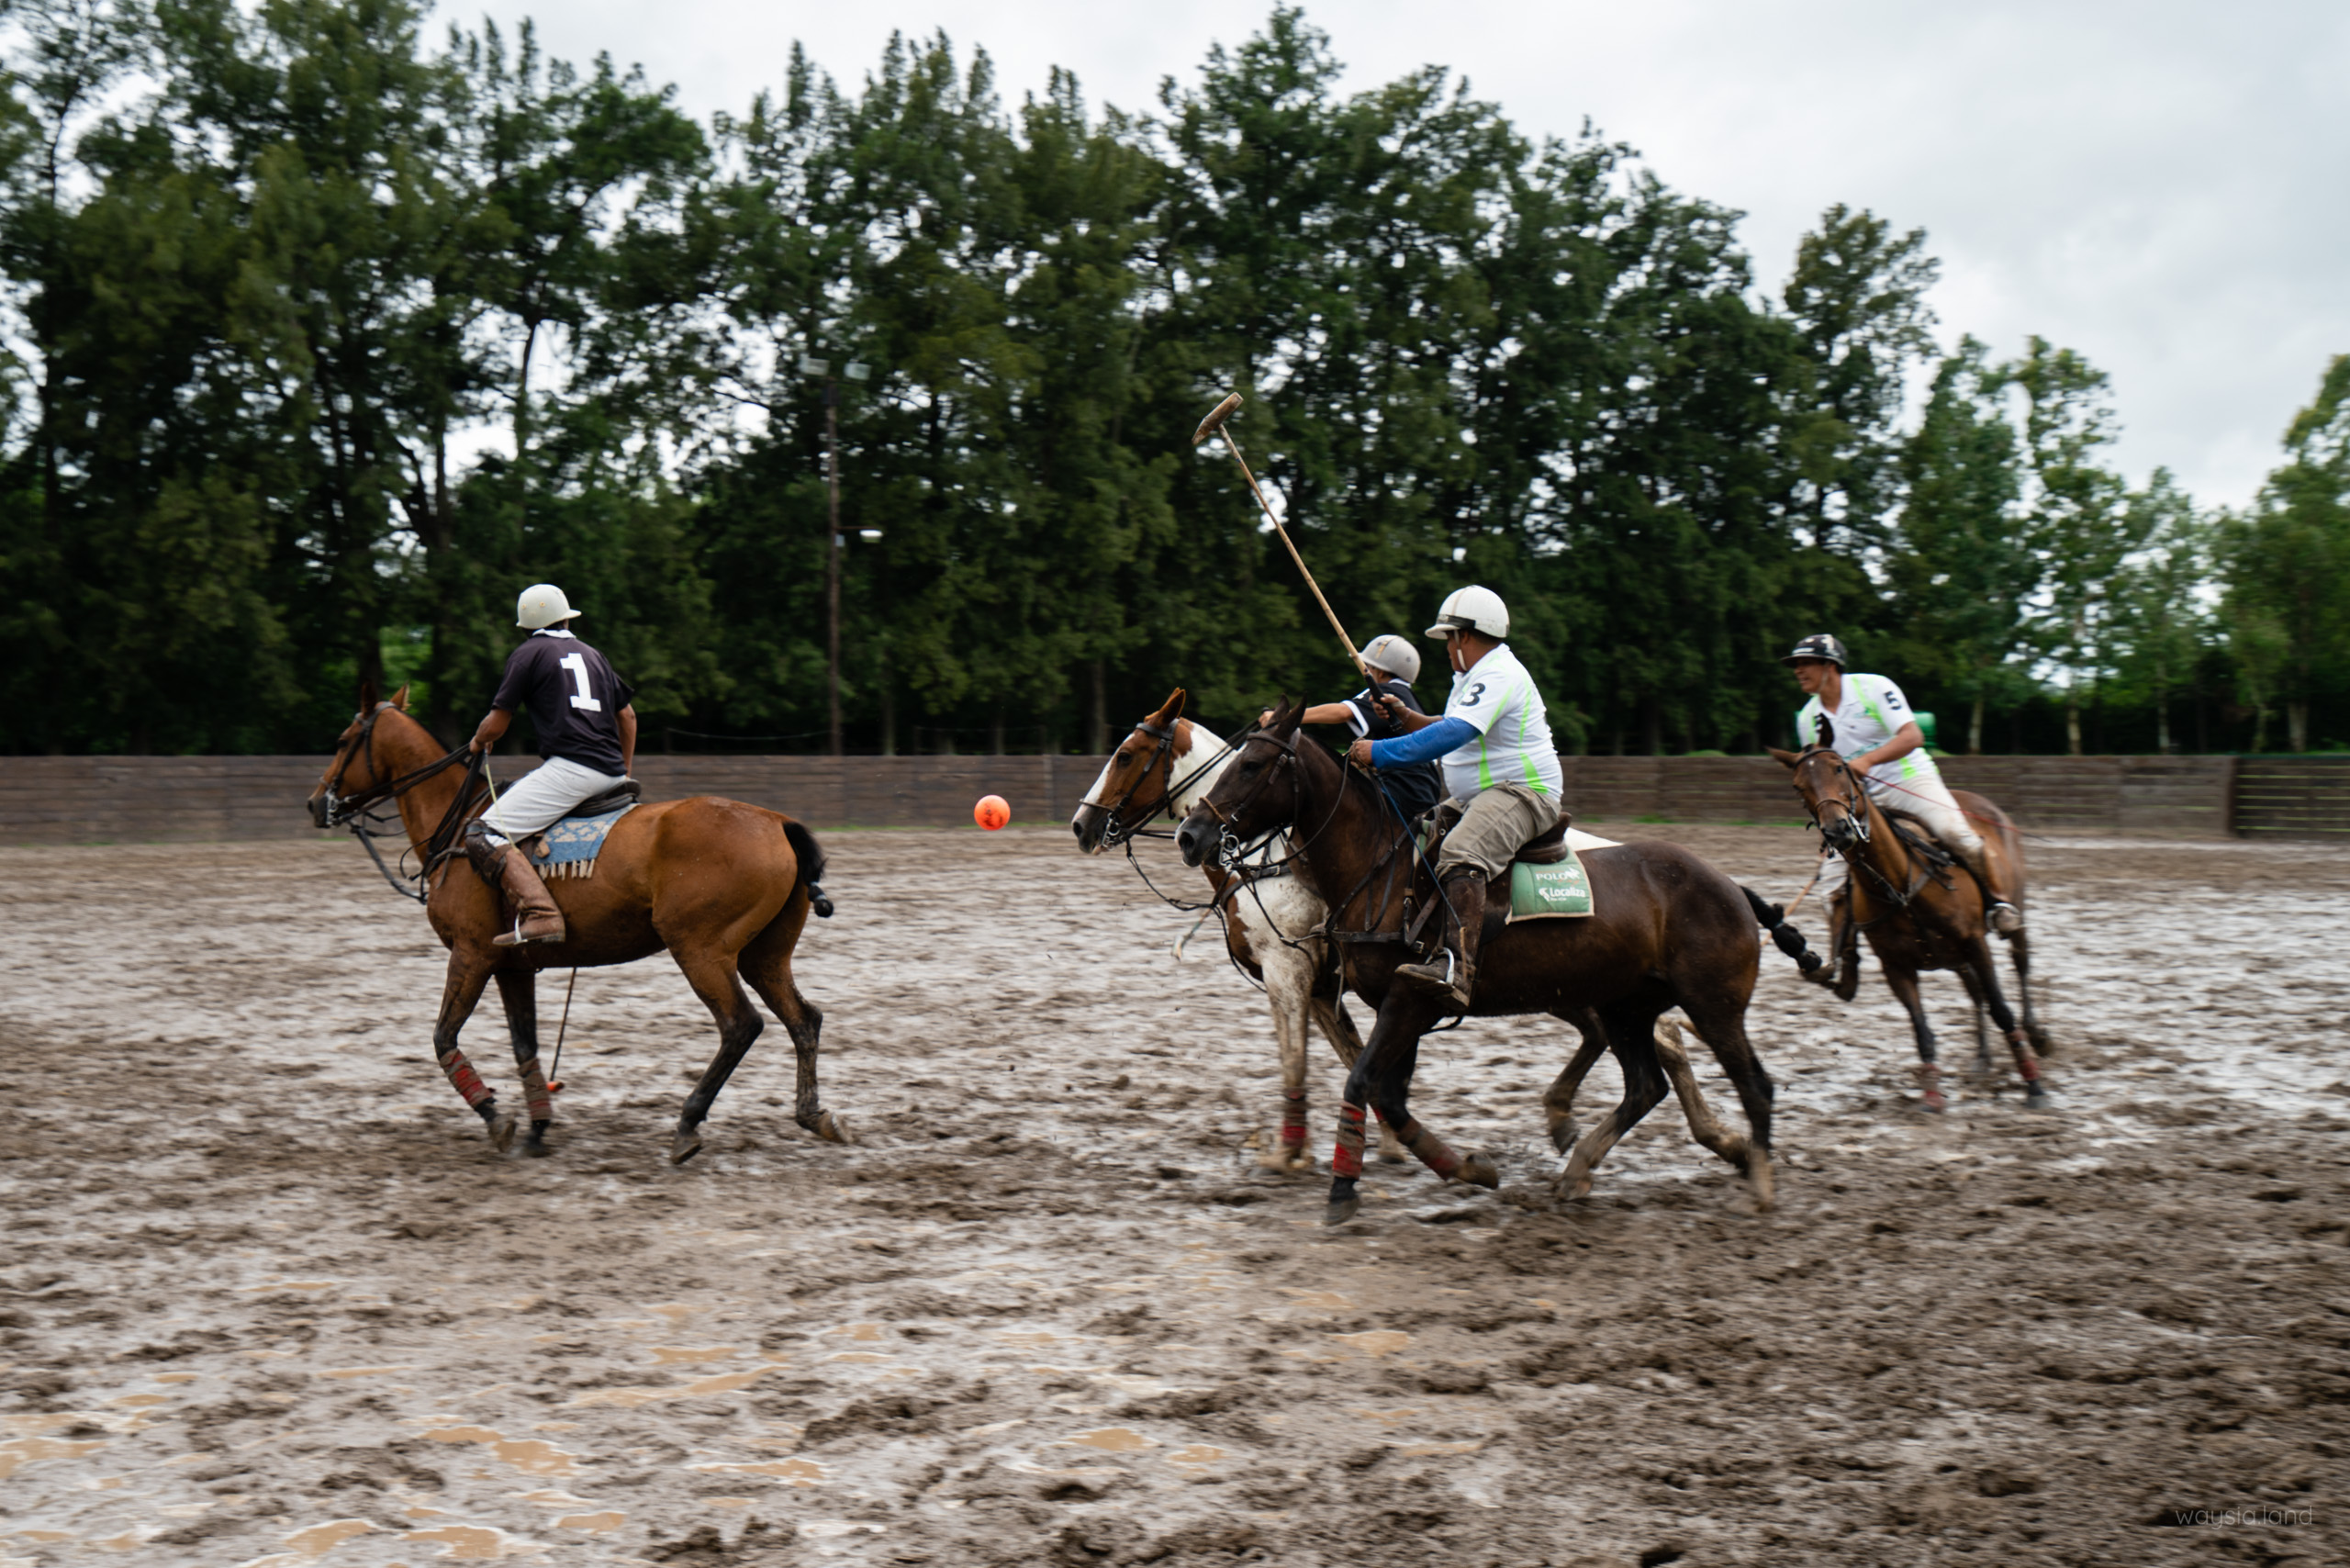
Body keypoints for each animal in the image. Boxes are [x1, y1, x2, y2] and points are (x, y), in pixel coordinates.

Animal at [308, 686, 850, 1166]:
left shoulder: (471, 952)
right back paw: (814, 1115)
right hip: (764, 953)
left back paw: (687, 1125)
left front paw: (496, 1120)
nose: (316, 804)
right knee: (804, 1018)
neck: (457, 824)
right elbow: (524, 1044)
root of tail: (778, 823)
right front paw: (537, 1129)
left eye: (342, 740)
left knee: (741, 1024)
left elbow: (444, 1038)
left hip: (701, 948)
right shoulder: (512, 965)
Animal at [1767, 743, 2049, 1109]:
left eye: (1840, 769)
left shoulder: (1975, 942)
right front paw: (1931, 1096)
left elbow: (2001, 1009)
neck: (1899, 883)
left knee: (2020, 962)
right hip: (1955, 959)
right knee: (1975, 992)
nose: (1838, 830)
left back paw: (2038, 1036)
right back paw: (1982, 1057)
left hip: (2012, 913)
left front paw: (2034, 1086)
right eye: (1798, 786)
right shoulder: (1896, 966)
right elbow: (1922, 1030)